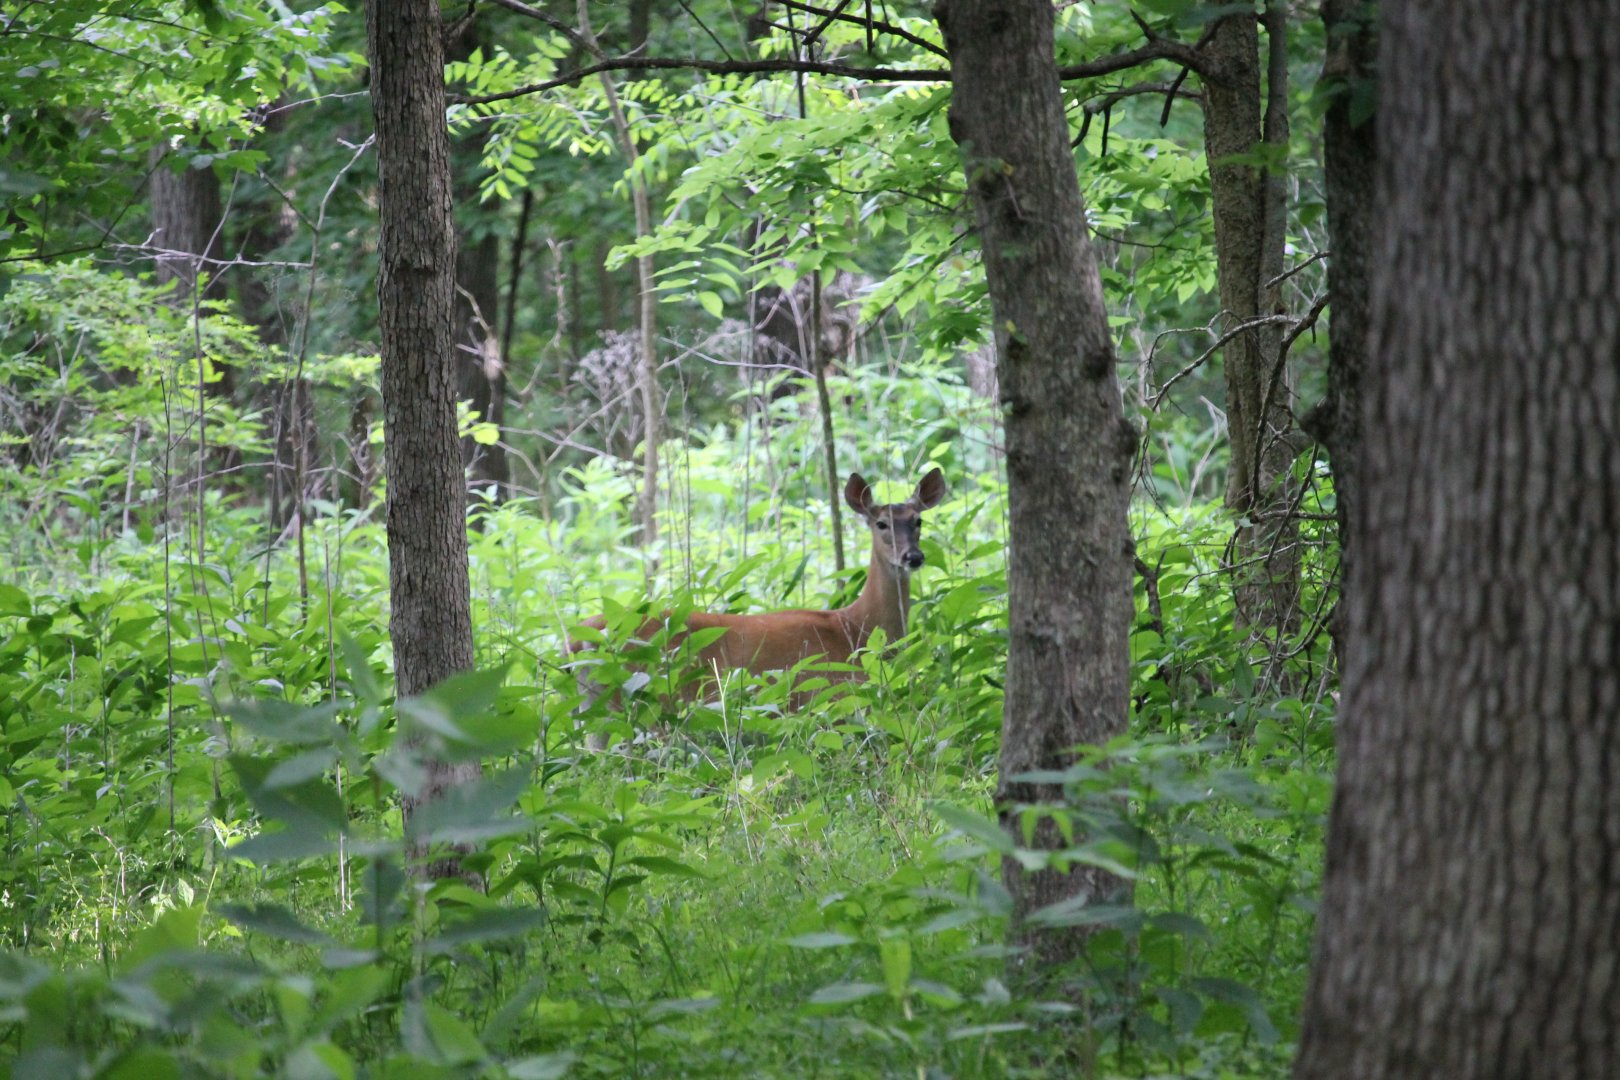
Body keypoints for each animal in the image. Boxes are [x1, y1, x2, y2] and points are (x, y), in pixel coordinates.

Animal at [568, 468, 947, 733]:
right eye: (881, 523)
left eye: (918, 520)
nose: (913, 557)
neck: (855, 629)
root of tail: (573, 642)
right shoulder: (829, 696)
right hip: (643, 700)